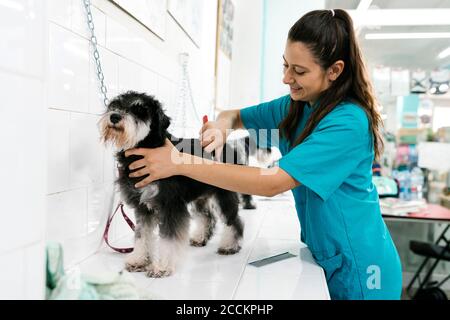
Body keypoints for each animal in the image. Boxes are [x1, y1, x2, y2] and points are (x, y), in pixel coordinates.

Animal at [99, 90, 244, 278]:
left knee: (233, 221)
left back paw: (229, 246)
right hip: (200, 198)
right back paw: (200, 238)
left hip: (224, 196)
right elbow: (142, 235)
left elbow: (168, 239)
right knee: (207, 217)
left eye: (140, 110)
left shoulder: (170, 206)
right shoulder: (142, 208)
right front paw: (139, 260)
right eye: (116, 104)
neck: (146, 148)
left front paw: (161, 267)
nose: (114, 116)